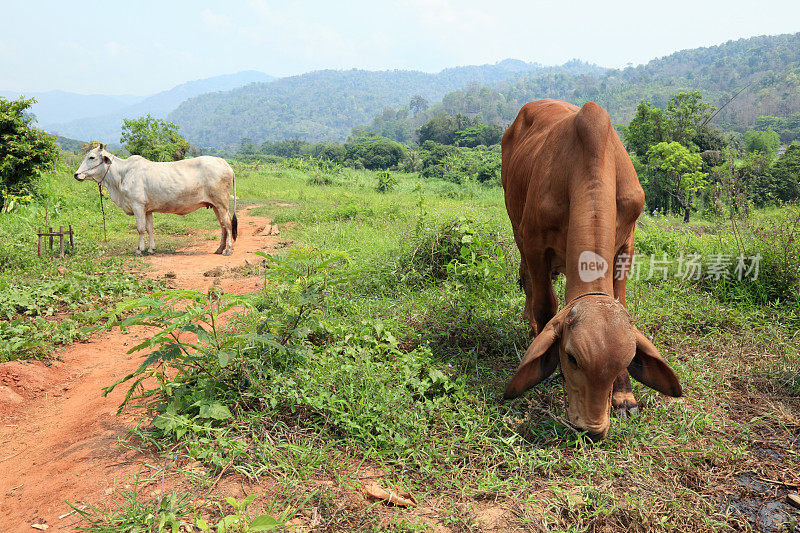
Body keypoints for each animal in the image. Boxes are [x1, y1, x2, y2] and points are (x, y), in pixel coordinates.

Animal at [74, 144, 238, 255]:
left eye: (92, 157)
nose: (76, 174)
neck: (122, 175)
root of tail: (225, 164)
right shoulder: (147, 209)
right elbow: (149, 228)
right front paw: (151, 249)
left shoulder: (137, 206)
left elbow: (140, 229)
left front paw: (139, 249)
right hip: (215, 205)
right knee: (223, 225)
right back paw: (219, 248)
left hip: (222, 204)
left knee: (228, 224)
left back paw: (228, 249)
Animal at [500, 97, 680, 438]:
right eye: (571, 358)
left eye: (628, 359)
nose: (593, 429)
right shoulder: (534, 244)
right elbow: (546, 305)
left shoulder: (627, 243)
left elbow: (621, 303)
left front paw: (623, 395)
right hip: (517, 228)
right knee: (528, 284)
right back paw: (531, 326)